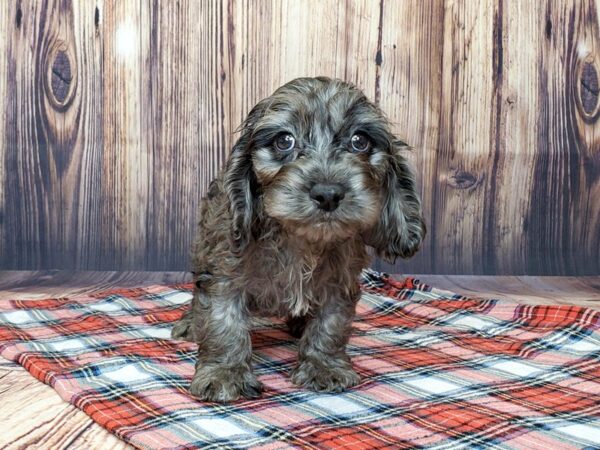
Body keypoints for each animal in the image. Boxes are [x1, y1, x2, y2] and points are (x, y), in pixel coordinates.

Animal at [172, 76, 426, 400]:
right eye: (284, 141)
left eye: (360, 141)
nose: (328, 194)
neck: (302, 240)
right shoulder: (224, 274)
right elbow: (223, 323)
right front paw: (225, 373)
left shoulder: (338, 284)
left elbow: (330, 326)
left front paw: (323, 366)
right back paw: (192, 324)